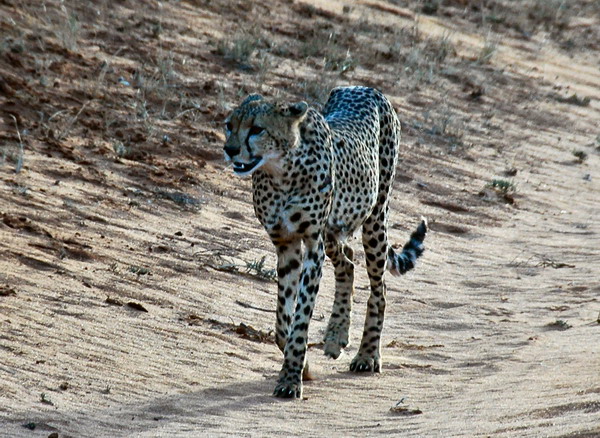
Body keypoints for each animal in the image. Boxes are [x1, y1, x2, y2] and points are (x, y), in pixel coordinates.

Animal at [223, 86, 427, 398]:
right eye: (229, 125)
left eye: (257, 129)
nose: (230, 149)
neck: (280, 171)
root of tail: (363, 87)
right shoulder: (286, 244)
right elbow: (283, 320)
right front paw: (302, 367)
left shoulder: (311, 245)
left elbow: (301, 317)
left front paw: (291, 378)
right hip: (333, 231)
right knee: (347, 262)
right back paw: (335, 336)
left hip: (375, 218)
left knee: (378, 289)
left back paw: (367, 355)